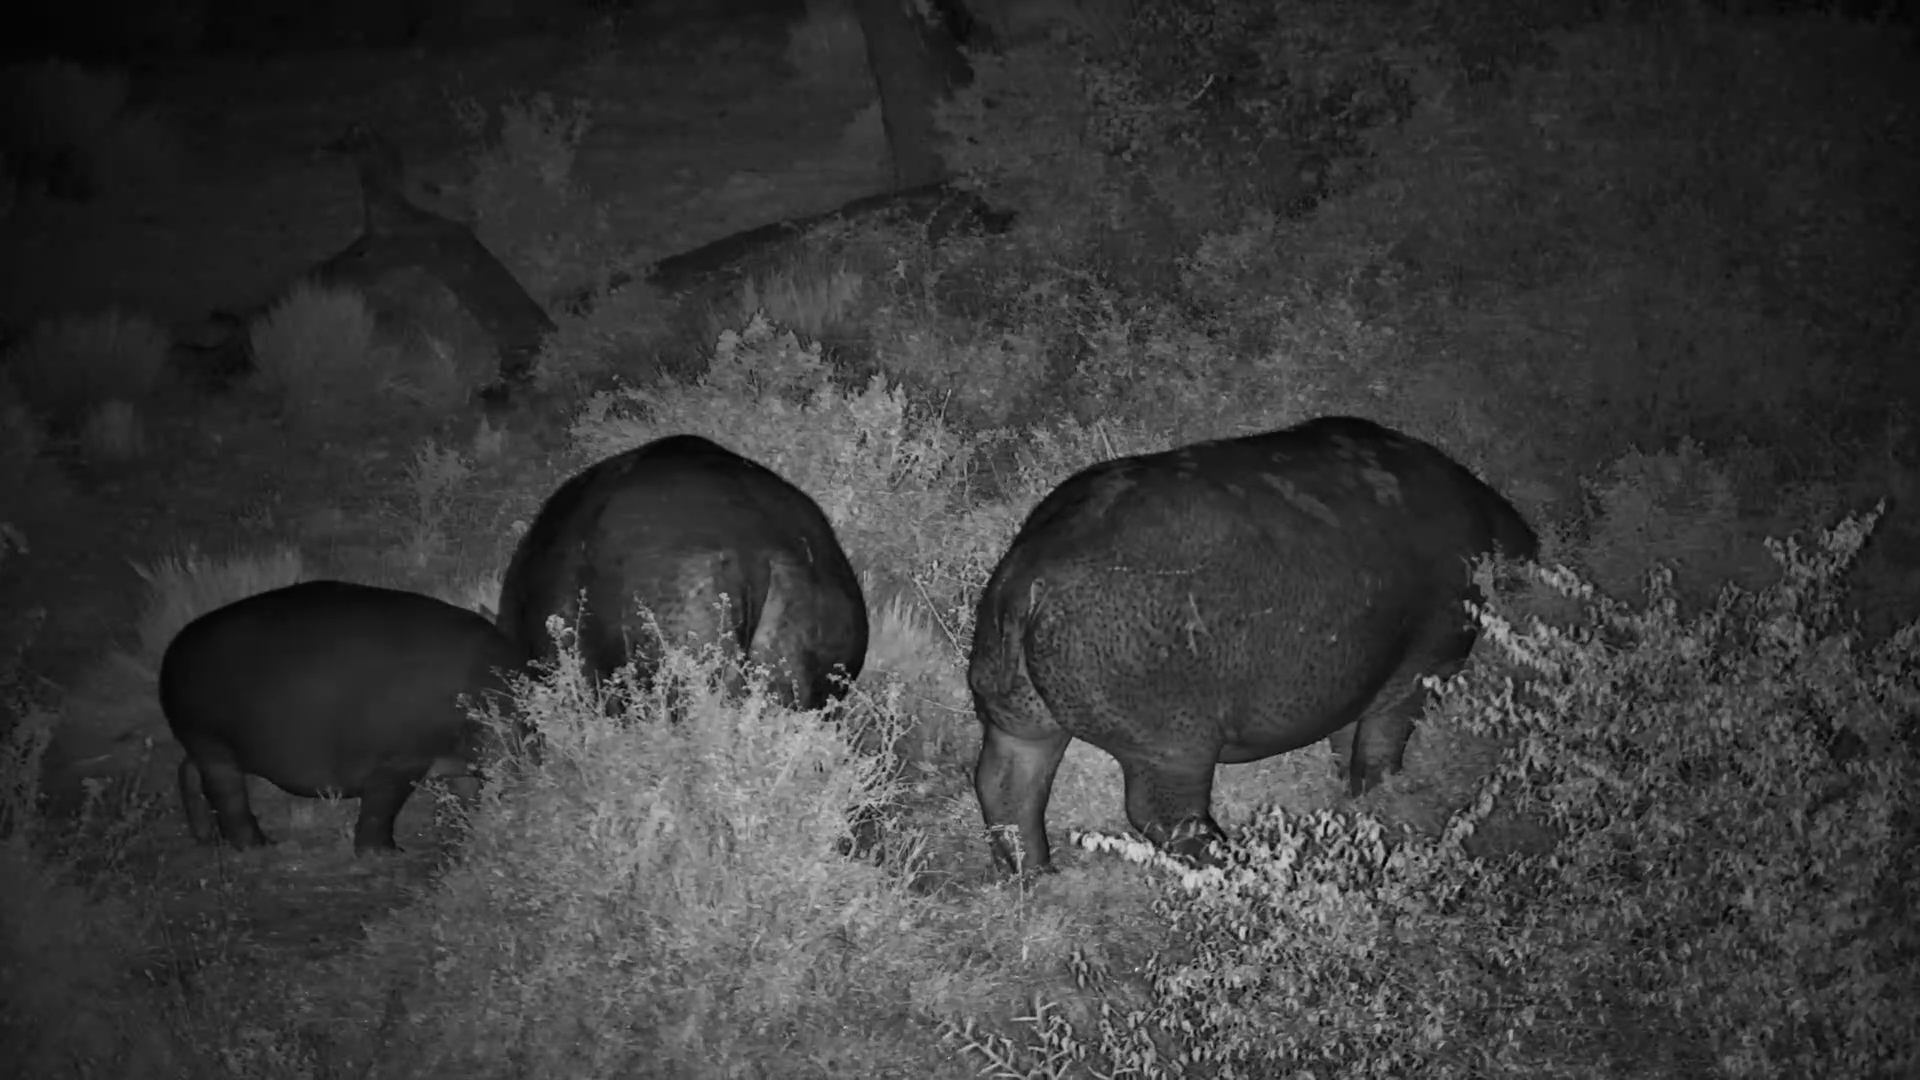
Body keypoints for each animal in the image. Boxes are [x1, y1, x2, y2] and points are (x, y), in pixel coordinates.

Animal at [159, 580, 525, 854]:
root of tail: (175, 646)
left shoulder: (457, 761)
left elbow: (467, 795)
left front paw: (467, 833)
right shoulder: (399, 763)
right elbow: (380, 809)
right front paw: (386, 854)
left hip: (208, 744)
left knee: (188, 772)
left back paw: (206, 837)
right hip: (214, 748)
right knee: (228, 794)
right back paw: (259, 845)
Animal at [967, 416, 1539, 876]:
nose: (1534, 541)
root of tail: (1028, 578)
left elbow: (1347, 743)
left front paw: (1350, 796)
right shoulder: (1424, 666)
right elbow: (1382, 745)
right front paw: (1385, 798)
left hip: (1019, 718)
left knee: (1005, 789)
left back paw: (1038, 878)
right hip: (1171, 746)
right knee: (1166, 819)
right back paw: (1240, 866)